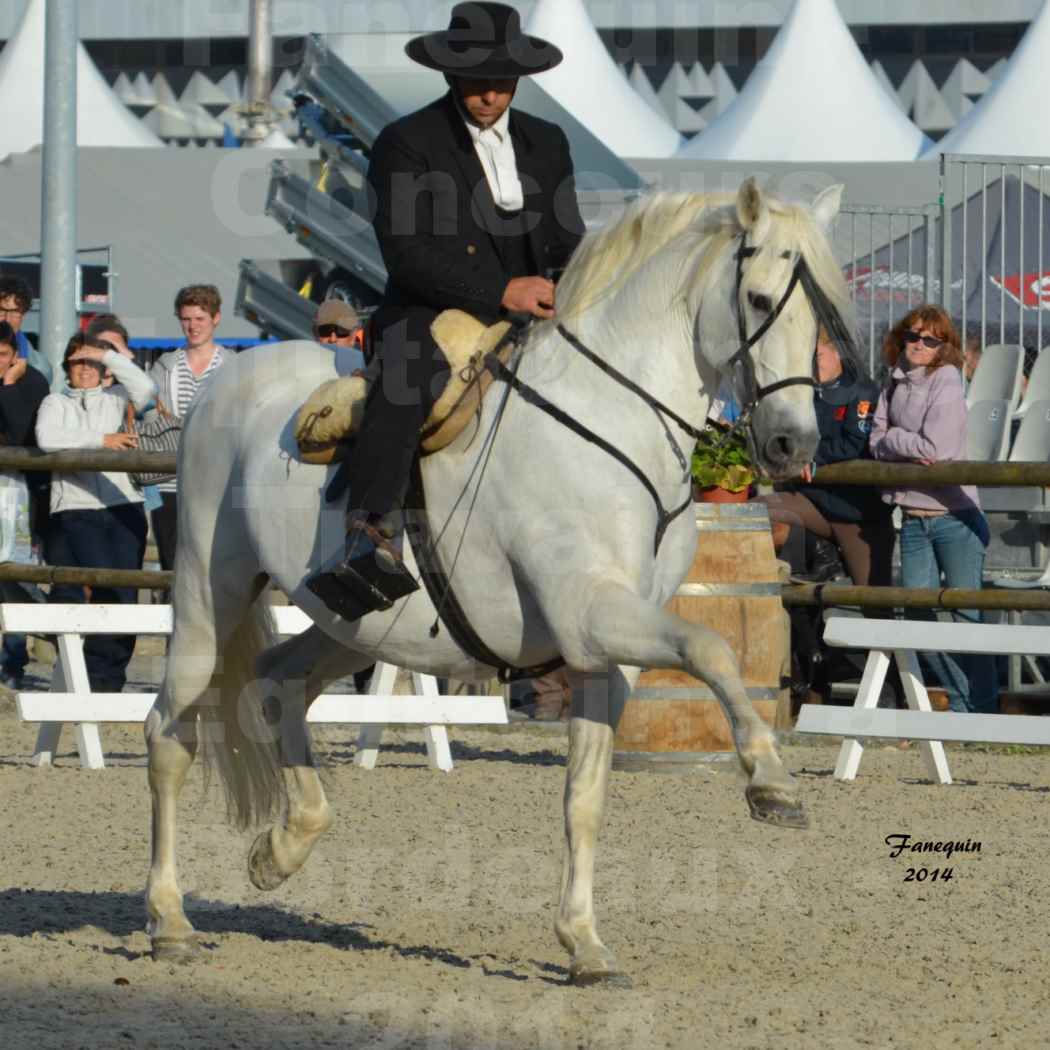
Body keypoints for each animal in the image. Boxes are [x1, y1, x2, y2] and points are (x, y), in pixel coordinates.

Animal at [145, 180, 852, 982]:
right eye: (760, 300)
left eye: (821, 318)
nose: (793, 444)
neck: (609, 419)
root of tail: (225, 381)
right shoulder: (594, 614)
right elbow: (713, 649)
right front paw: (770, 782)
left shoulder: (604, 653)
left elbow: (584, 797)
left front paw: (584, 944)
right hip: (207, 596)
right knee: (169, 735)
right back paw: (170, 921)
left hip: (352, 625)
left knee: (276, 682)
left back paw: (283, 848)